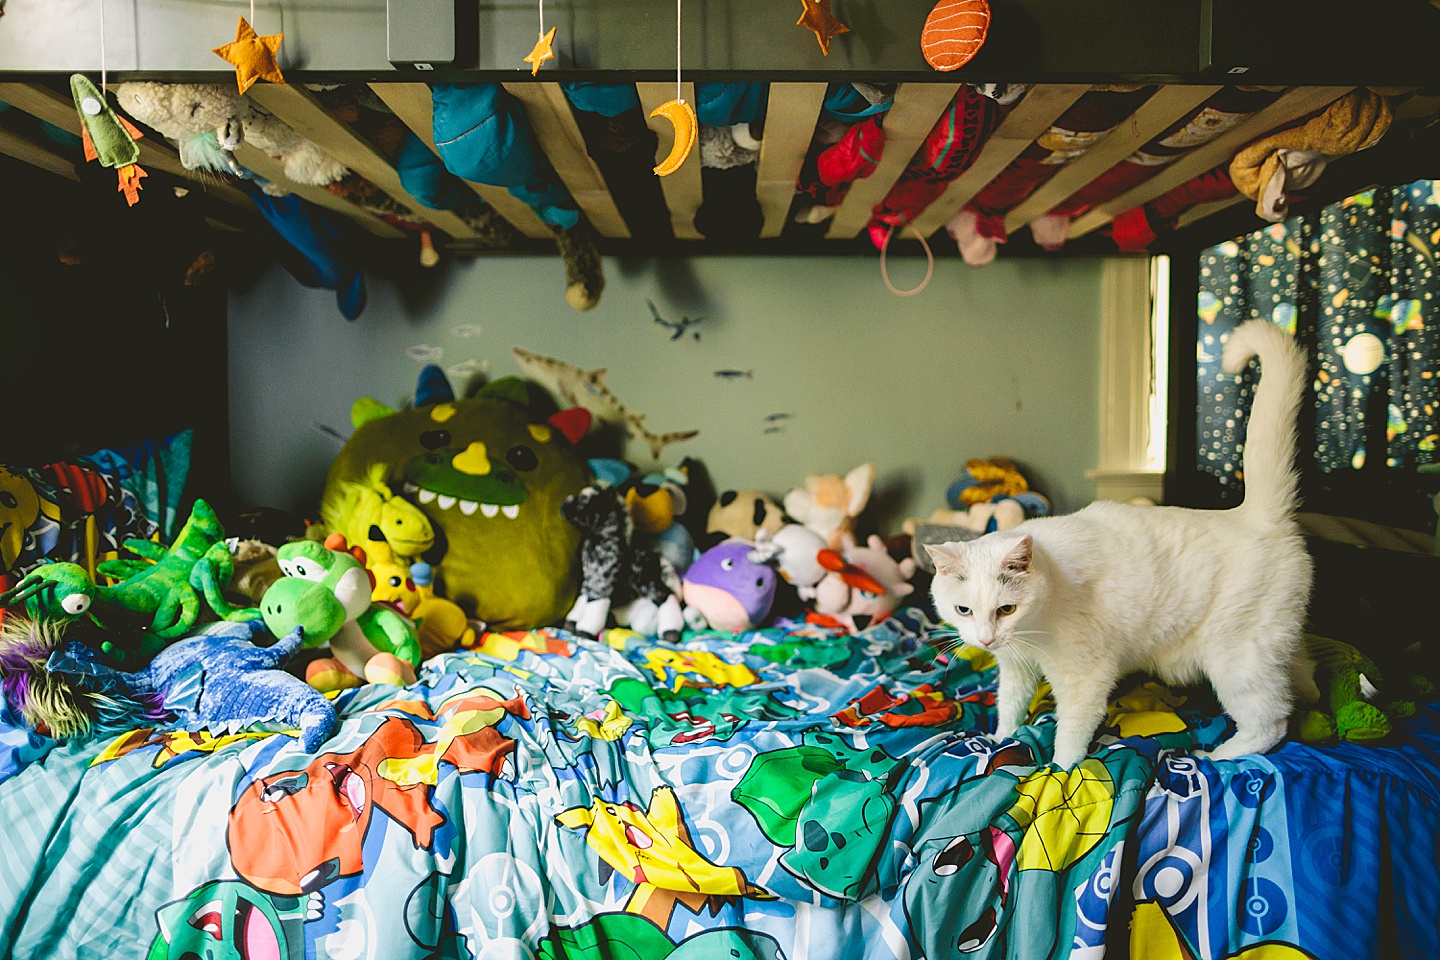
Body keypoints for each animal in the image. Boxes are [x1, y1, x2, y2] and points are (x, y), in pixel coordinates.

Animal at [933, 319, 1319, 771]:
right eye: (963, 610)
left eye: (1006, 609)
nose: (985, 640)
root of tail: (1255, 514)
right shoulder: (1016, 667)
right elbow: (1010, 706)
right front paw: (999, 739)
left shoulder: (1085, 677)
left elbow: (1071, 735)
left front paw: (1059, 772)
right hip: (1277, 645)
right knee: (1305, 678)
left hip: (1238, 659)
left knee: (1272, 722)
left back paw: (1218, 754)